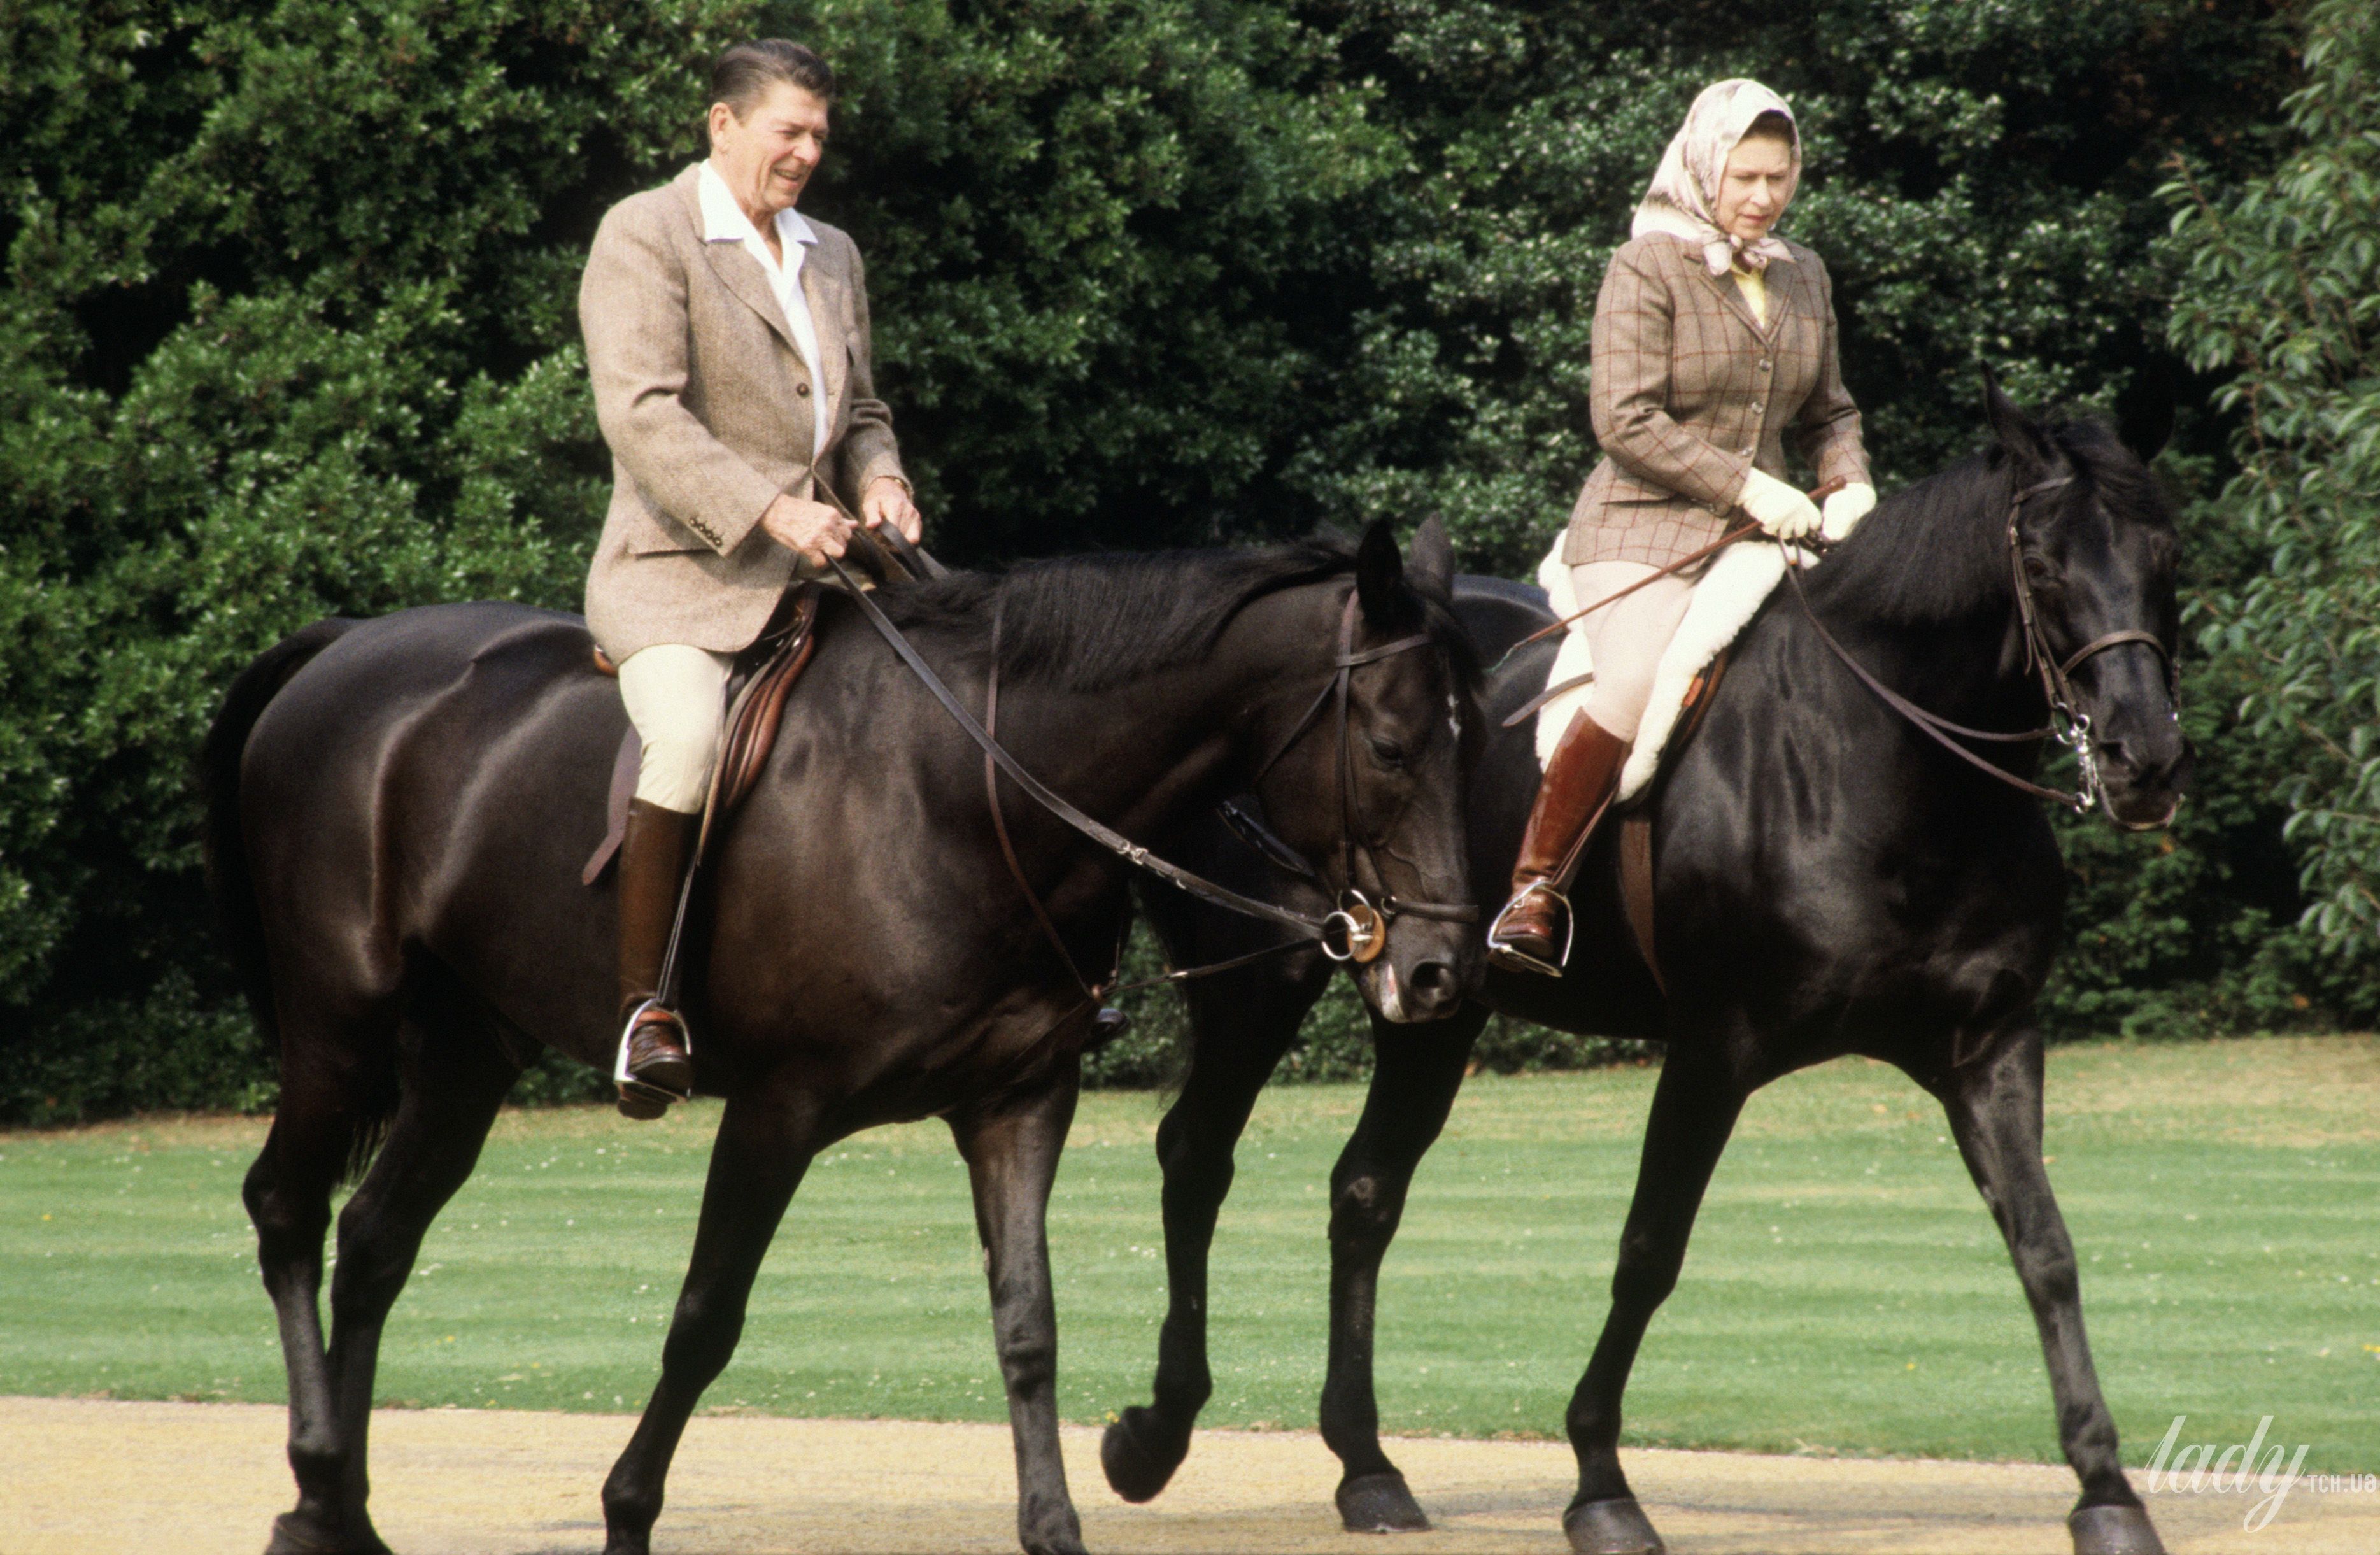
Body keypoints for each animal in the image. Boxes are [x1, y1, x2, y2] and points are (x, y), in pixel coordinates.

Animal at [209, 523, 1466, 1552]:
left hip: (466, 1052)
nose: (1436, 966)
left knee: (375, 1237)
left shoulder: (1017, 1102)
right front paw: (626, 1513)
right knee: (286, 1207)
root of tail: (349, 645)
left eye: (1452, 743)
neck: (962, 792)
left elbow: (1028, 1324)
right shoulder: (777, 1110)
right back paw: (315, 1473)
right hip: (340, 1024)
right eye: (1391, 746)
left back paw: (337, 1511)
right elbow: (705, 1320)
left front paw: (1054, 1523)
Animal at [1094, 390, 2189, 1552]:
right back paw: (1153, 1435)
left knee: (1364, 1191)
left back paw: (1367, 1467)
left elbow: (2044, 1247)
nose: (2145, 761)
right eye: (2045, 566)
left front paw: (2105, 1489)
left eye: (2164, 556)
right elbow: (1649, 1249)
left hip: (1432, 1002)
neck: (1883, 762)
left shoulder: (1988, 1046)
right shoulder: (1714, 1050)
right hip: (1255, 985)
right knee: (1195, 1156)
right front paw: (1599, 1484)